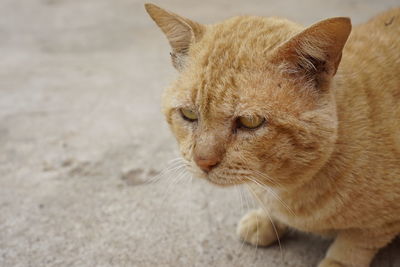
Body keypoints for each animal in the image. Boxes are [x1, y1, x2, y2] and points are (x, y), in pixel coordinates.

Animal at [145, 3, 400, 266]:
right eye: (188, 114)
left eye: (250, 122)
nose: (203, 161)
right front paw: (265, 220)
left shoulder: (380, 223)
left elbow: (352, 245)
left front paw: (336, 262)